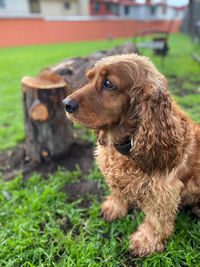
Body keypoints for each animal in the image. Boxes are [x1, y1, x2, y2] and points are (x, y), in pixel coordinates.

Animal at [63, 52, 200, 258]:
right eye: (89, 78)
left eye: (108, 83)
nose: (66, 104)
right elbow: (118, 191)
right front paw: (114, 207)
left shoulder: (163, 190)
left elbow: (157, 219)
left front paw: (147, 240)